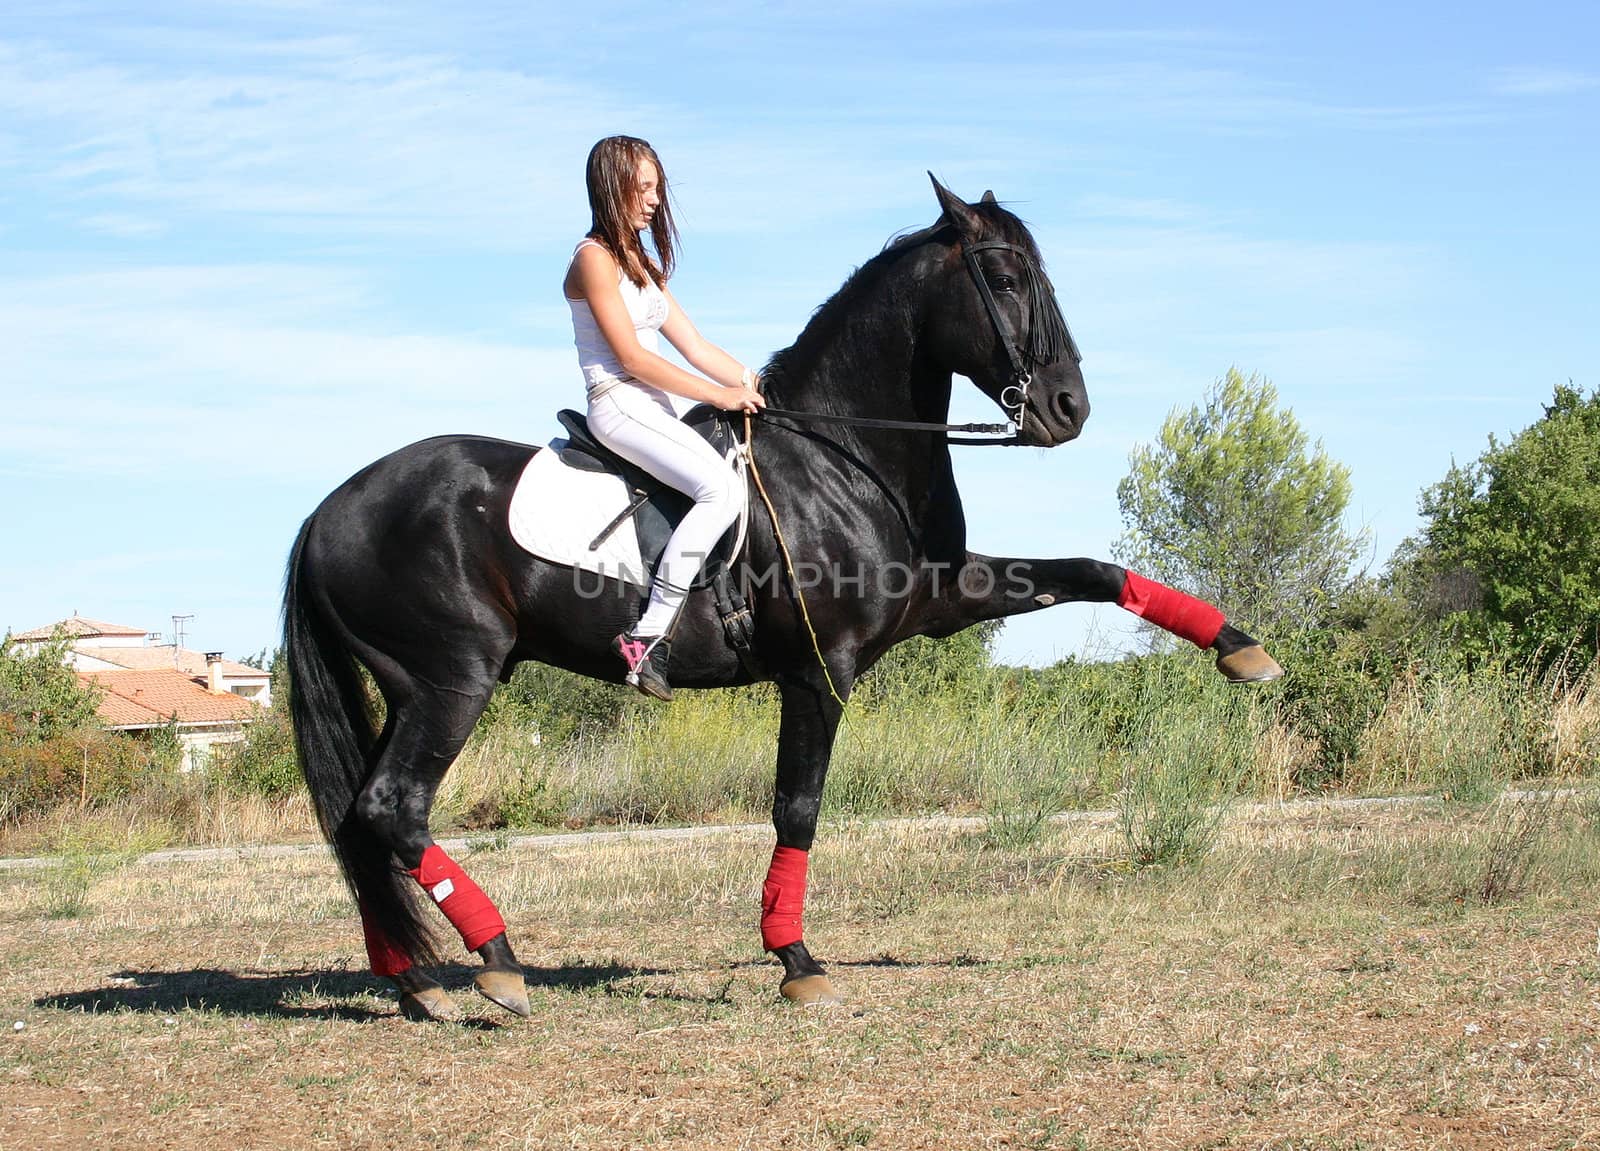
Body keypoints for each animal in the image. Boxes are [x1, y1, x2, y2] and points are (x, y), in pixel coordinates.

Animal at [288, 175, 1280, 1024]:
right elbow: (797, 806)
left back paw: (418, 981)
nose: (1068, 407)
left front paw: (1239, 648)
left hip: (409, 688)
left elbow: (1093, 572)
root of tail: (327, 508)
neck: (845, 451)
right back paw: (495, 961)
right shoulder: (820, 669)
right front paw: (796, 958)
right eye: (1004, 278)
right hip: (454, 678)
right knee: (392, 807)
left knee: (359, 818)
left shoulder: (944, 598)